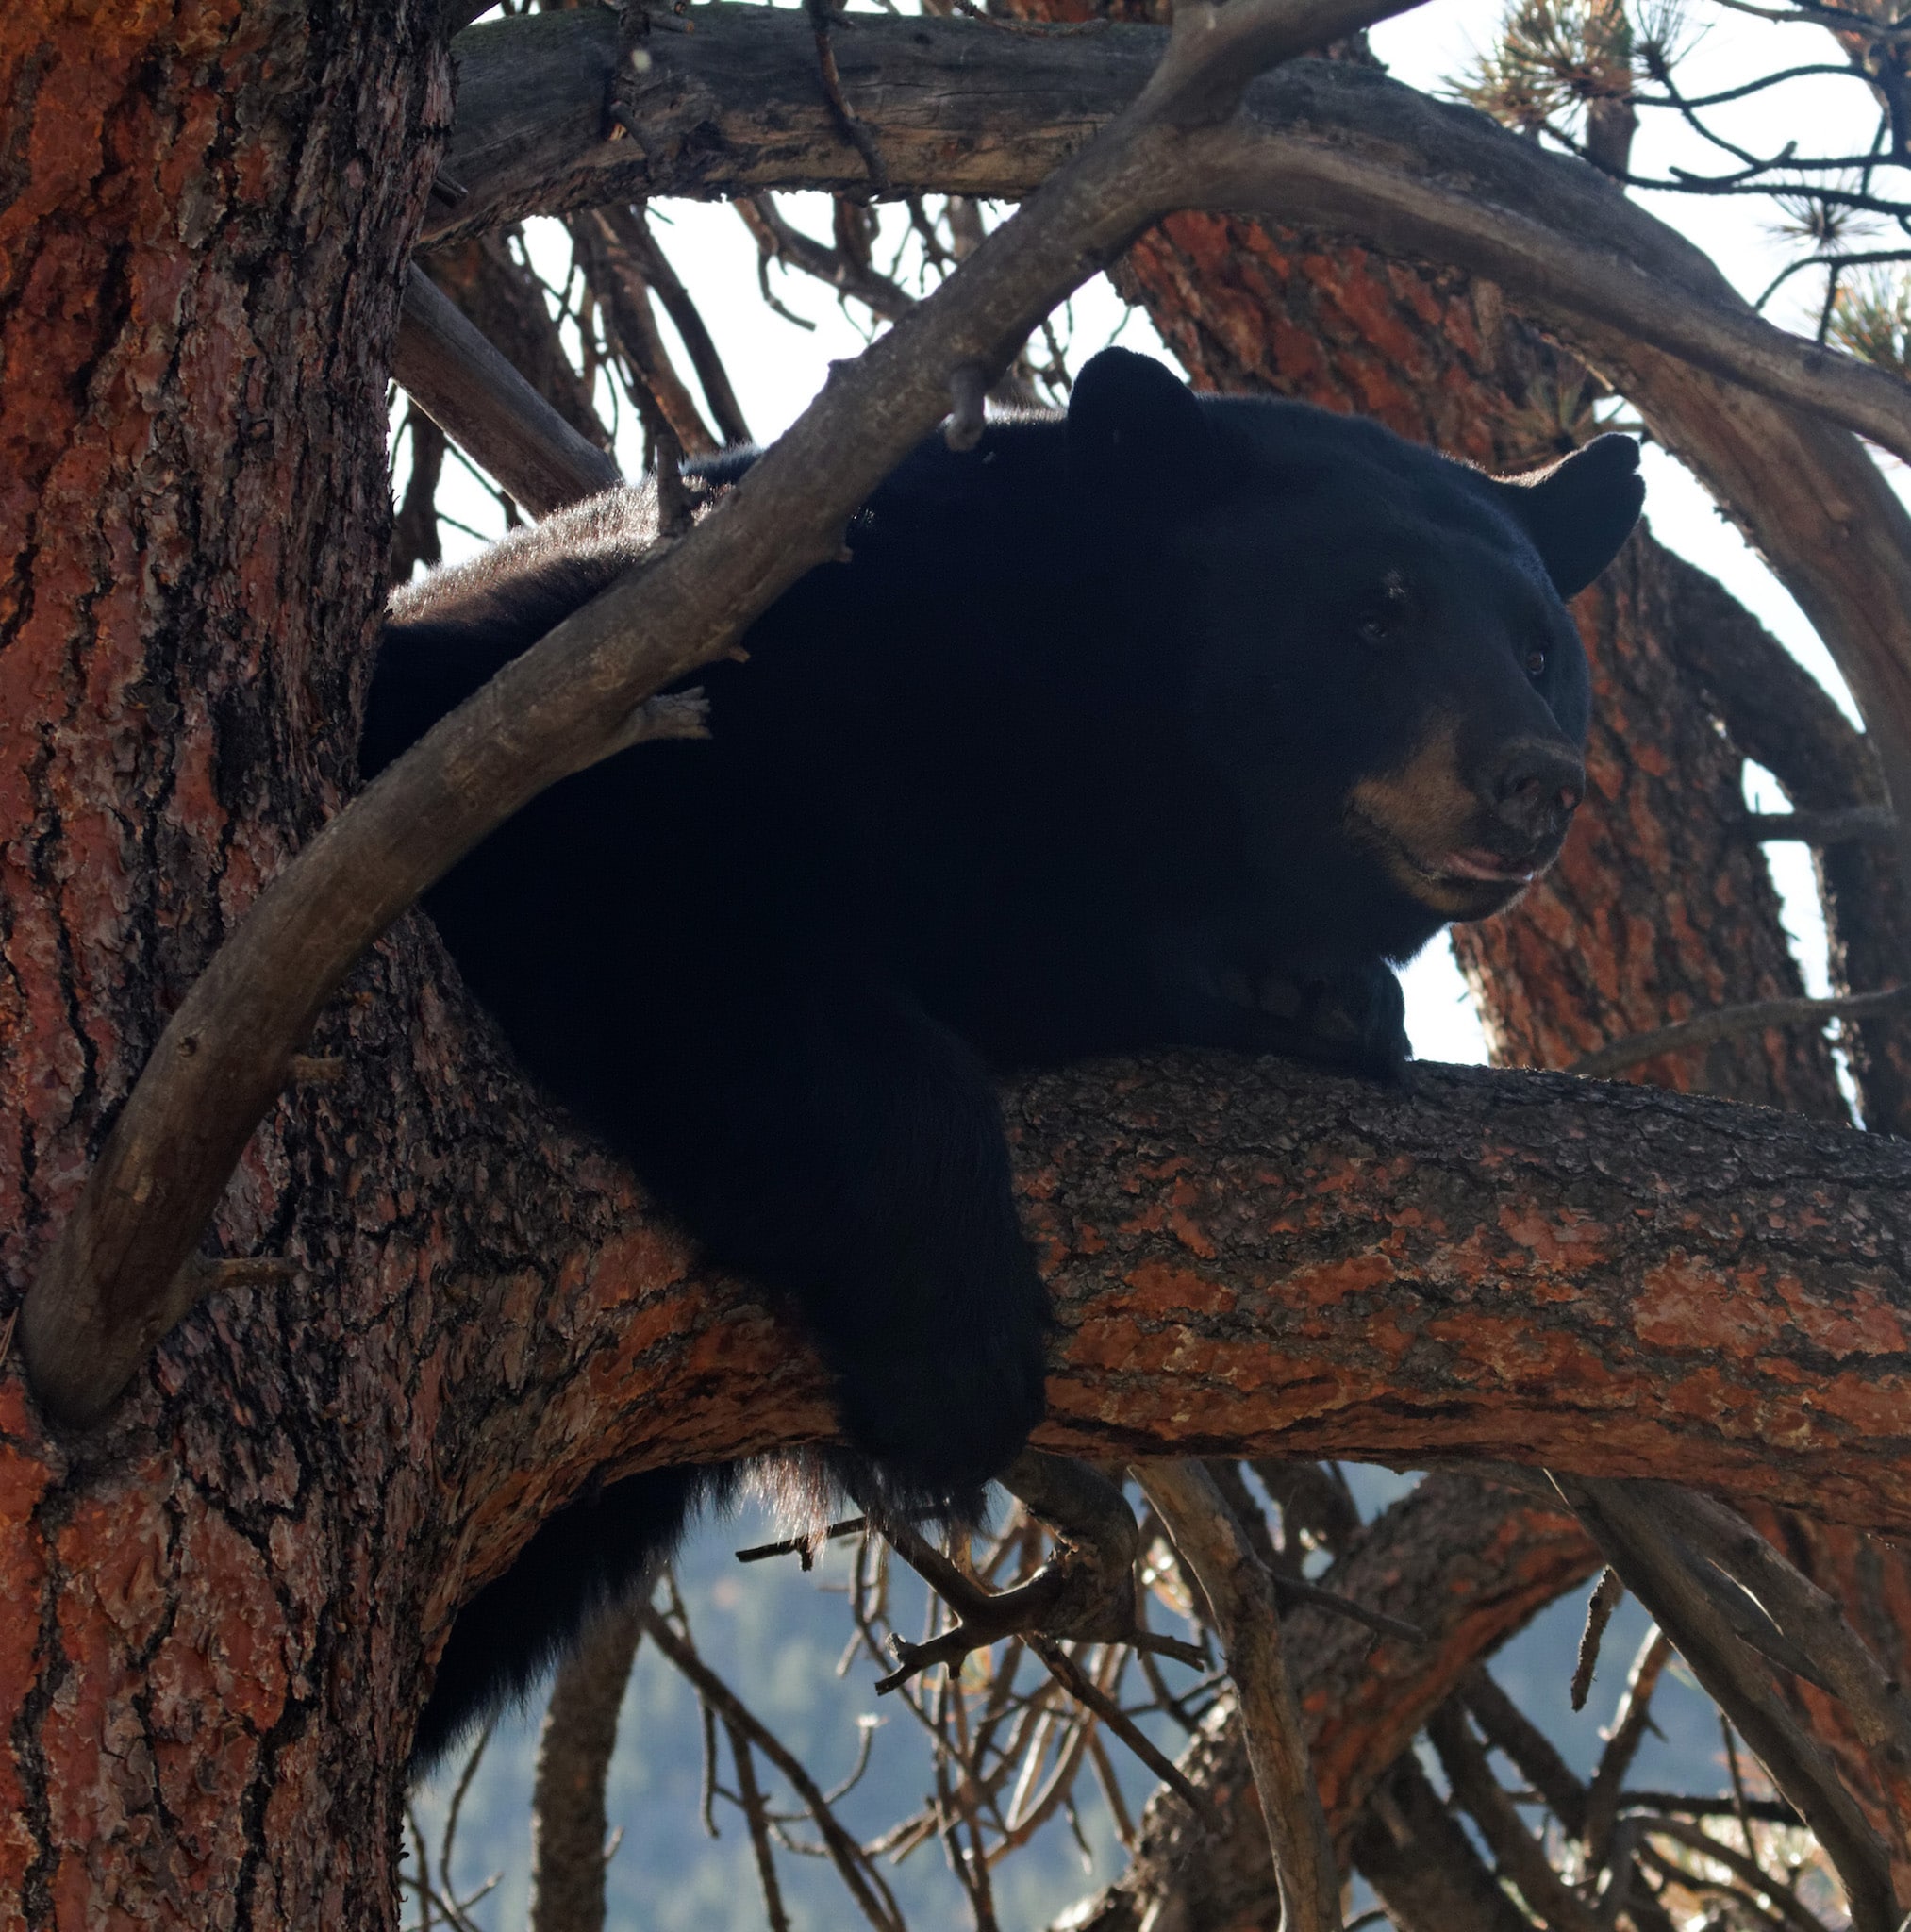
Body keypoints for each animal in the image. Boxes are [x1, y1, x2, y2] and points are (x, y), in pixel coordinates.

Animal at [369, 347, 1638, 1769]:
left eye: (1540, 647)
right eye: (1376, 616)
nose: (1534, 779)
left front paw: (1313, 991)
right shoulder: (641, 692)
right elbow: (658, 890)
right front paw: (954, 1355)